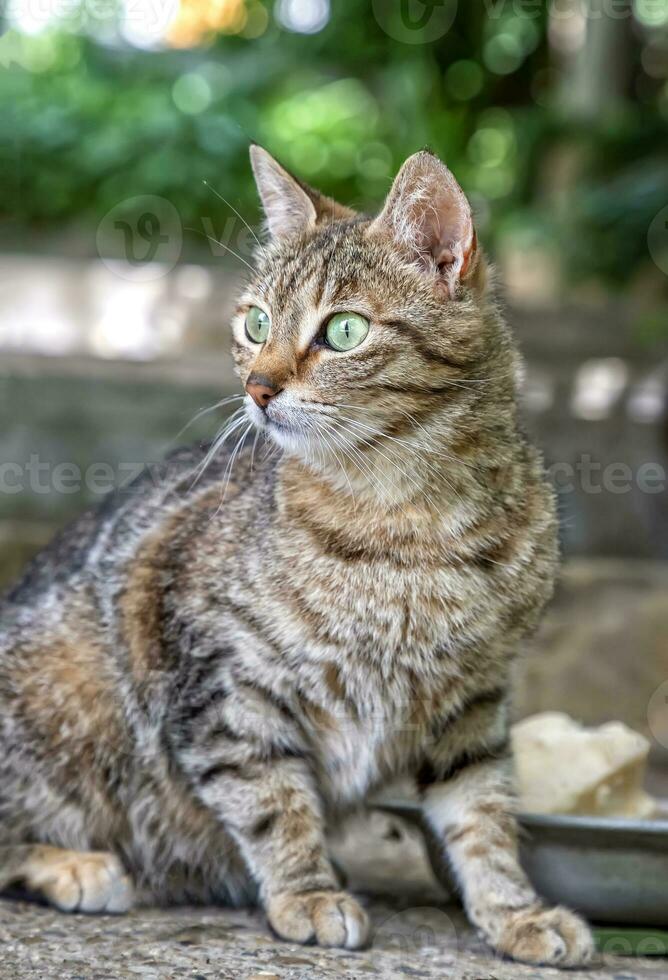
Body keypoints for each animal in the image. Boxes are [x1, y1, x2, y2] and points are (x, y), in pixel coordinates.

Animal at [0, 145, 596, 964]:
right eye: (255, 323)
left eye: (342, 331)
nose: (258, 386)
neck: (411, 521)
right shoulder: (222, 682)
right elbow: (271, 799)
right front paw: (307, 892)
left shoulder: (471, 703)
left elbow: (483, 814)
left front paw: (514, 912)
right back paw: (74, 865)